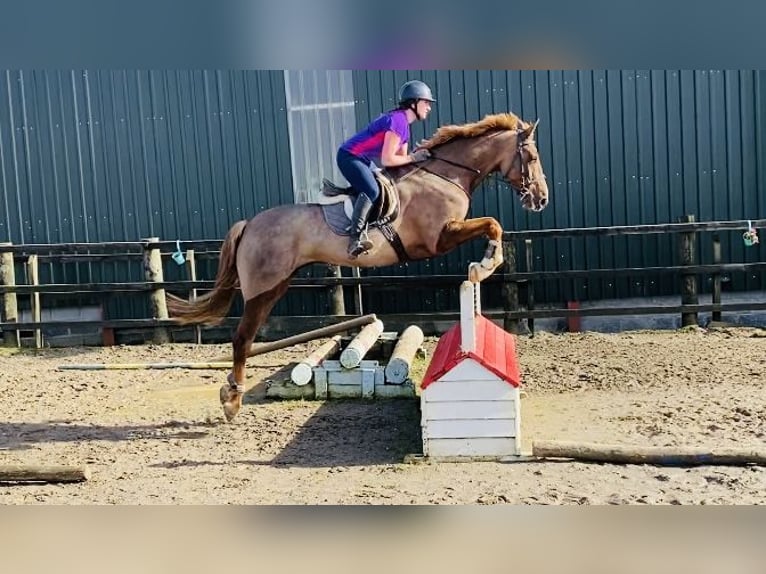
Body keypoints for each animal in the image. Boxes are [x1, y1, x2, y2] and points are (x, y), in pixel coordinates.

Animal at [169, 111, 552, 424]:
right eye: (532, 156)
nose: (542, 199)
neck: (445, 175)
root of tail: (249, 224)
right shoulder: (438, 238)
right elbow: (492, 224)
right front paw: (485, 265)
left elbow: (493, 225)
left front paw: (484, 264)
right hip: (262, 289)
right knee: (241, 339)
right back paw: (232, 401)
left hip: (277, 286)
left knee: (246, 340)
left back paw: (231, 393)